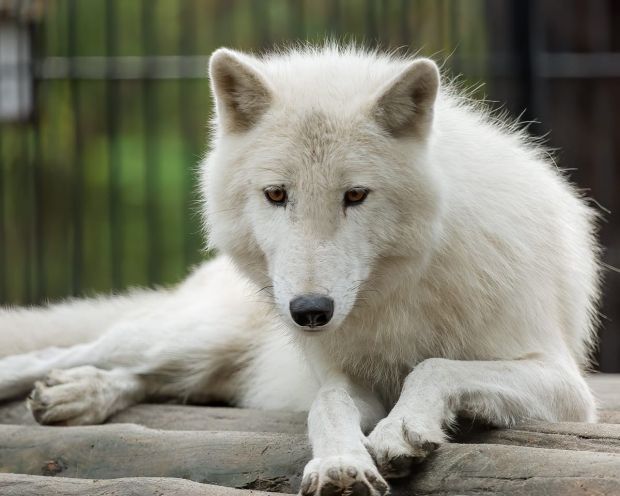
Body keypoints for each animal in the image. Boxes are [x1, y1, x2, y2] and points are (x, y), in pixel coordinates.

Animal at [0, 45, 600, 496]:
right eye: (276, 194)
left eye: (355, 195)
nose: (310, 312)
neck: (402, 293)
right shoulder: (342, 376)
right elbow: (326, 405)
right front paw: (339, 464)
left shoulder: (566, 384)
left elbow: (435, 366)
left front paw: (403, 428)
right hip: (187, 337)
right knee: (63, 353)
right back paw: (67, 388)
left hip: (203, 361)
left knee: (145, 378)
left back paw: (76, 396)